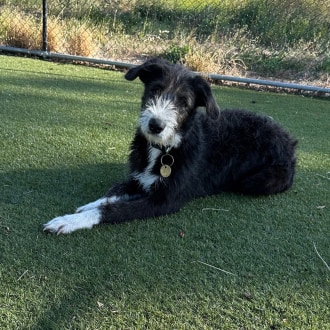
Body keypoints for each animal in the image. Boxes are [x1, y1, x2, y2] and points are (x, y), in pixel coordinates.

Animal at [42, 58, 298, 233]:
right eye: (155, 89)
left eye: (183, 101)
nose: (156, 125)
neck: (163, 149)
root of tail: (289, 140)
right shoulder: (139, 179)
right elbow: (113, 192)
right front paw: (86, 206)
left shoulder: (164, 201)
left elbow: (112, 209)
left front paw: (69, 221)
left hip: (258, 181)